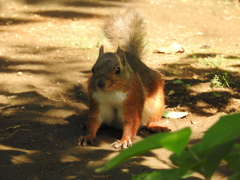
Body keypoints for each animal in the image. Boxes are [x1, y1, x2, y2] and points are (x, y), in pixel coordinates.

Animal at [78, 8, 170, 149]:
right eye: (93, 69)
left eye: (118, 70)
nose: (100, 83)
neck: (111, 92)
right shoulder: (97, 101)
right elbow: (94, 119)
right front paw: (88, 136)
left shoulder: (133, 98)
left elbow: (131, 121)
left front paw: (124, 140)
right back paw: (88, 124)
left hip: (157, 101)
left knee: (151, 120)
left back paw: (156, 126)